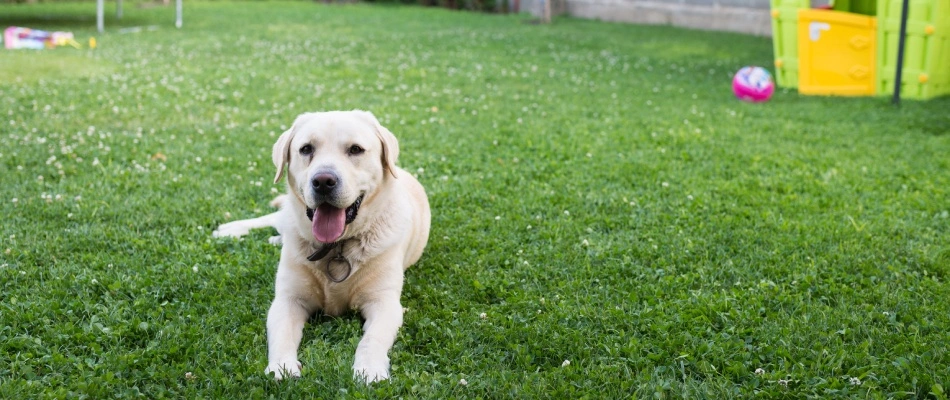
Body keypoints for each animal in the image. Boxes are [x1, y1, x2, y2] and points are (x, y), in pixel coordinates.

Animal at [215, 109, 432, 382]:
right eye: (306, 149)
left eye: (355, 149)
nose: (323, 181)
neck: (335, 247)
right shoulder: (288, 299)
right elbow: (282, 335)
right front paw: (282, 367)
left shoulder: (384, 302)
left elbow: (371, 339)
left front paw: (369, 368)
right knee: (273, 218)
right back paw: (230, 230)